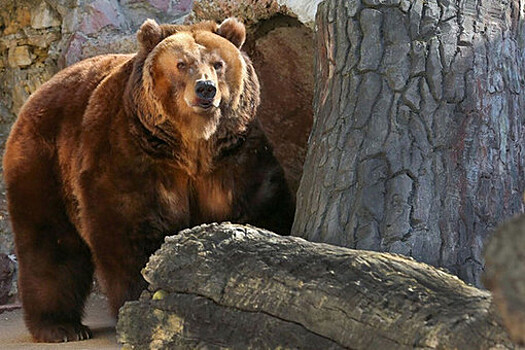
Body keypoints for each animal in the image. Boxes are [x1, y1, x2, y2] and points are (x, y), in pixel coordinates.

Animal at [2, 17, 292, 344]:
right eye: (181, 64)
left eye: (218, 63)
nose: (205, 89)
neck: (192, 147)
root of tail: (41, 89)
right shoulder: (131, 154)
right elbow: (128, 227)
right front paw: (143, 303)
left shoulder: (235, 157)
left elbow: (262, 206)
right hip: (44, 162)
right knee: (50, 243)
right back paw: (61, 327)